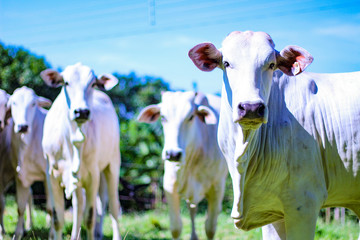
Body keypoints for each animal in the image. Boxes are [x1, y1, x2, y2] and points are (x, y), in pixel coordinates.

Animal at [6, 87, 52, 239]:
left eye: (33, 104)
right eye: (13, 103)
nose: (23, 126)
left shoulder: (48, 175)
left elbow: (50, 207)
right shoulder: (20, 176)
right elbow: (20, 207)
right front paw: (18, 233)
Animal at [40, 62, 120, 239]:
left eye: (93, 84)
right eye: (66, 83)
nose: (81, 111)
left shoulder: (93, 175)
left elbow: (89, 218)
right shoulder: (52, 175)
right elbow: (57, 219)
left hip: (112, 165)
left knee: (113, 207)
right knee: (78, 206)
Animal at [138, 91, 228, 239]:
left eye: (191, 117)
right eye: (163, 117)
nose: (173, 154)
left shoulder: (217, 188)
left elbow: (210, 228)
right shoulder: (170, 185)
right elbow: (176, 227)